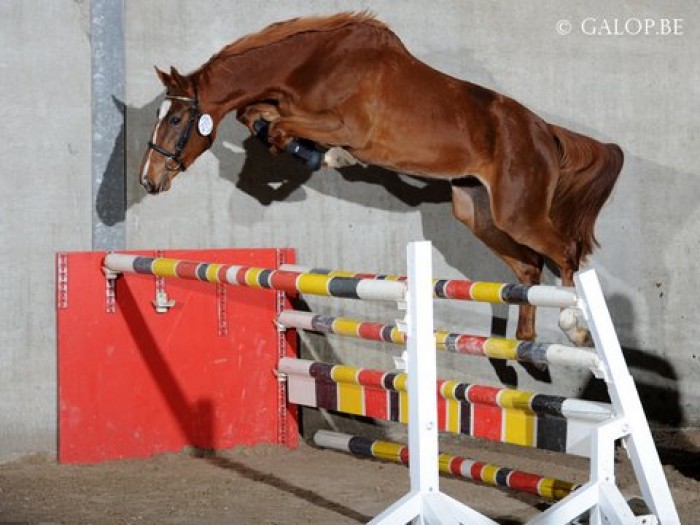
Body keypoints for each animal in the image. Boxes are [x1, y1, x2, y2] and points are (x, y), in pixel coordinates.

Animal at [139, 12, 623, 345]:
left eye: (177, 118)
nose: (148, 180)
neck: (311, 65)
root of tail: (545, 132)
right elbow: (259, 117)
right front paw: (316, 154)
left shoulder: (347, 126)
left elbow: (279, 127)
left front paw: (327, 156)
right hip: (478, 213)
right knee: (528, 265)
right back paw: (523, 341)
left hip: (517, 212)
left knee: (567, 252)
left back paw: (574, 327)